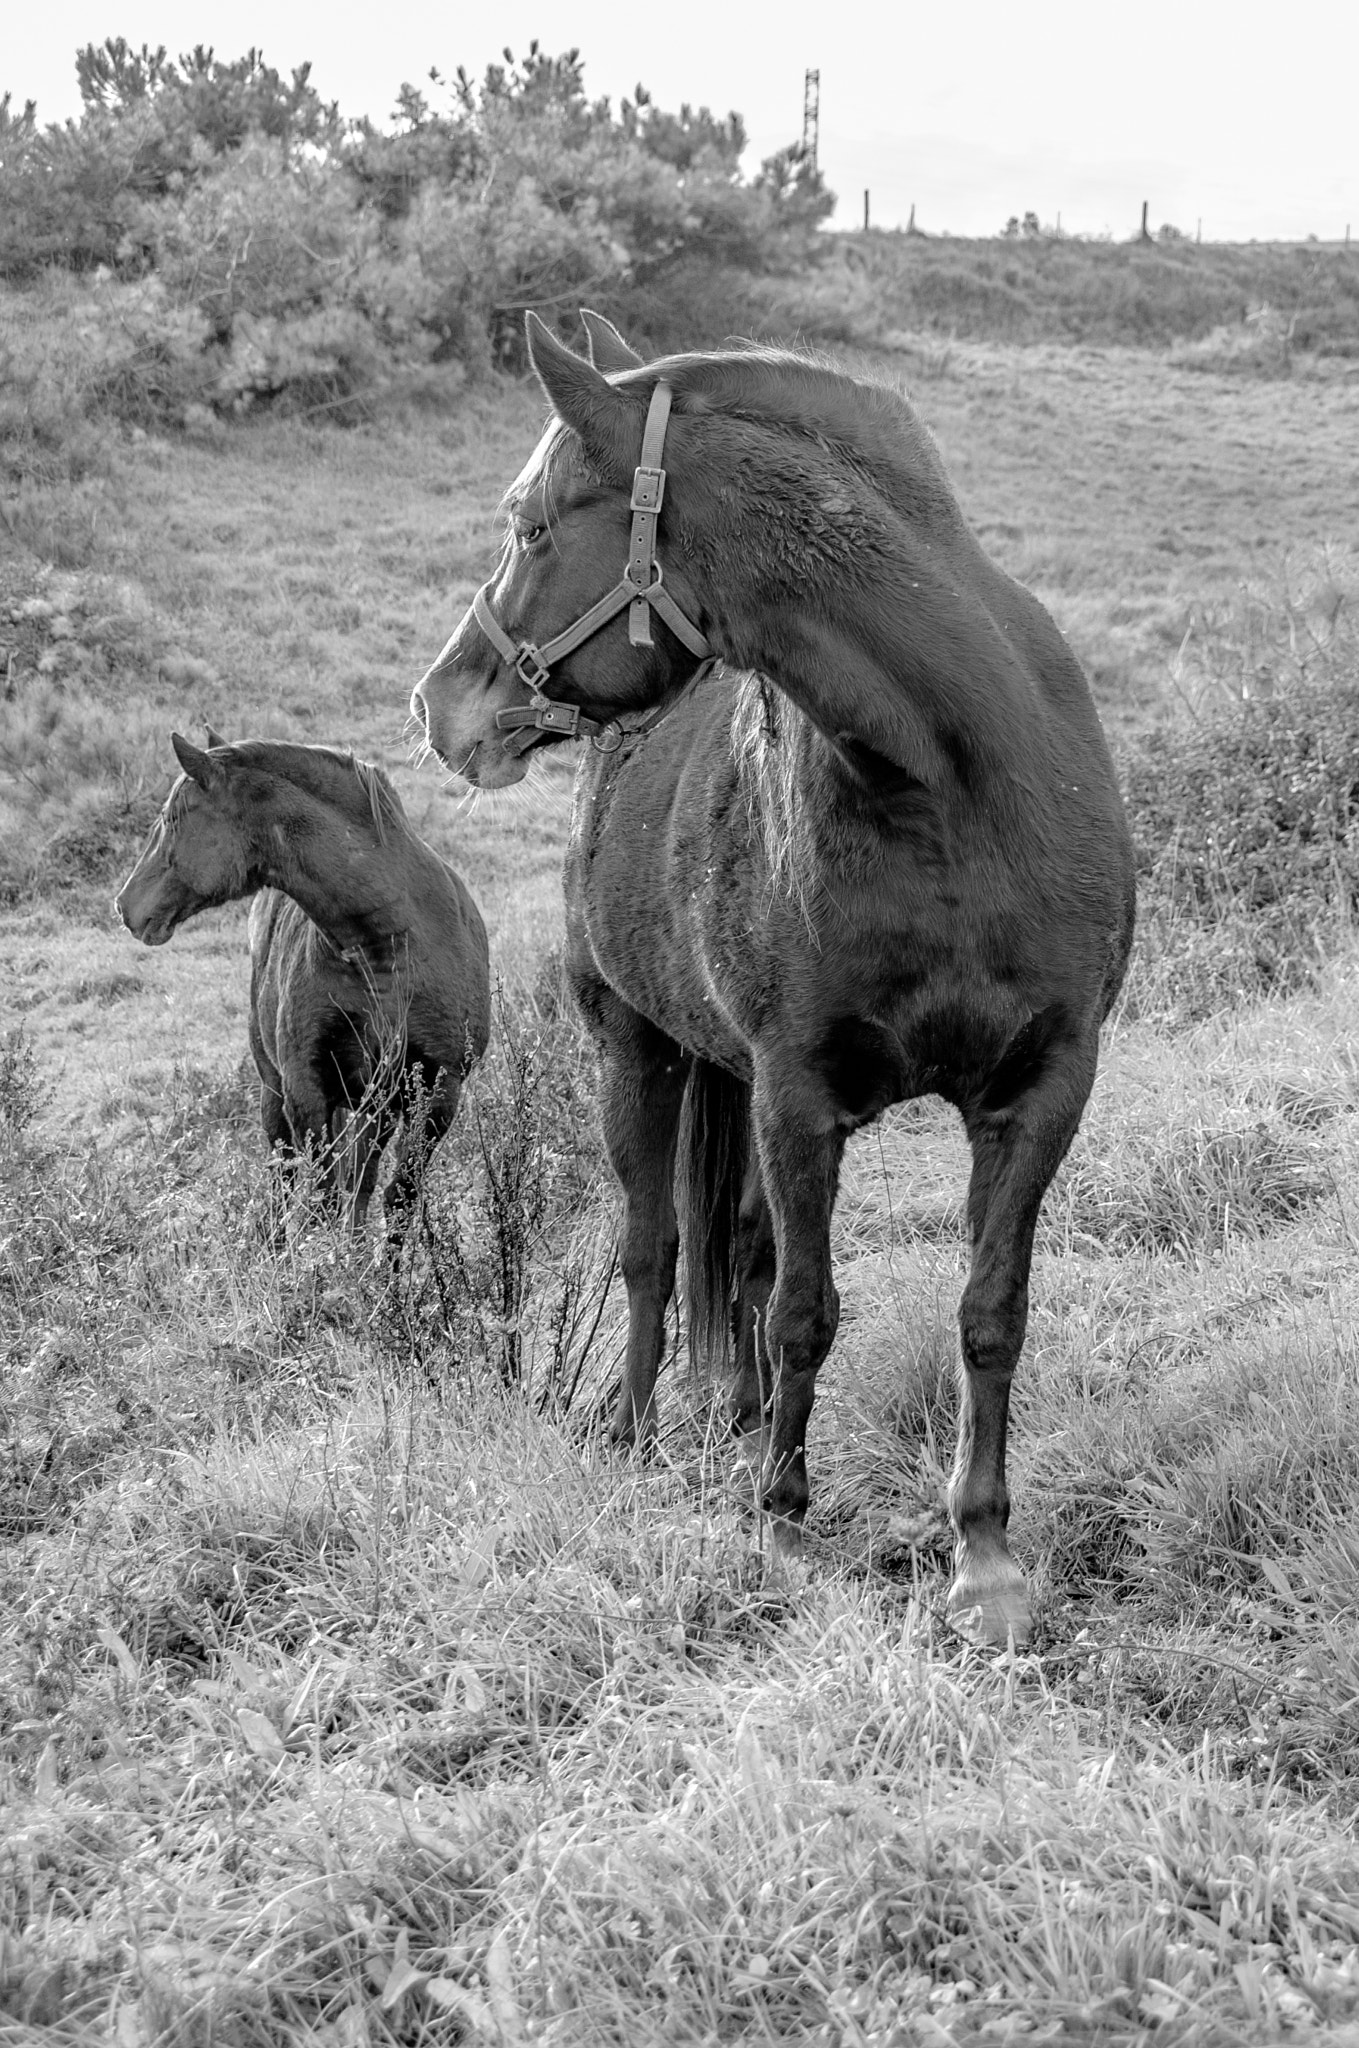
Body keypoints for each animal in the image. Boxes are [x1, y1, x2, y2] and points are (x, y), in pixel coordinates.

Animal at [116, 731, 491, 1239]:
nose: (125, 905)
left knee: (360, 1183)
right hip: (277, 1093)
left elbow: (396, 1198)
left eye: (173, 818)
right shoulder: (307, 1089)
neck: (388, 946)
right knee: (286, 1182)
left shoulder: (438, 1093)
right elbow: (322, 1199)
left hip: (375, 1109)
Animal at [410, 310, 1135, 1647]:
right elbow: (804, 1304)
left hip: (726, 1072)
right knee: (654, 1248)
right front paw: (783, 1520)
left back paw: (740, 1422)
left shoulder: (1042, 1088)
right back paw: (639, 1429)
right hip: (636, 1049)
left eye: (530, 527)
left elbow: (988, 1311)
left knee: (735, 1245)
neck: (944, 789)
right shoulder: (801, 1092)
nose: (440, 704)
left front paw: (984, 1555)